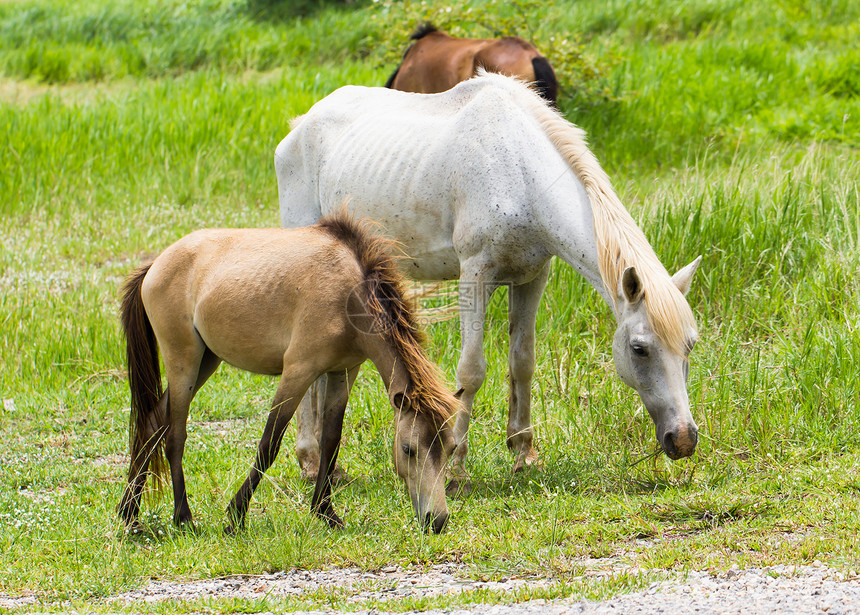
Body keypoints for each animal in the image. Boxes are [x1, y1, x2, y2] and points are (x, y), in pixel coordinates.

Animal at [278, 72, 704, 488]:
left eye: (690, 345)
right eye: (639, 349)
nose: (683, 439)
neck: (519, 172)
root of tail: (301, 125)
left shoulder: (532, 279)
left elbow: (523, 361)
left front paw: (524, 453)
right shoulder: (475, 276)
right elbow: (471, 370)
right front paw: (455, 465)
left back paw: (330, 467)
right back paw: (310, 461)